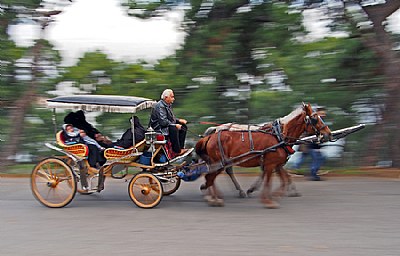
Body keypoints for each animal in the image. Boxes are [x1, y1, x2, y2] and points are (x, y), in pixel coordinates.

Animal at [195, 102, 332, 208]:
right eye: (315, 119)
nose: (328, 133)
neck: (279, 136)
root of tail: (211, 135)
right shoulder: (271, 164)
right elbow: (270, 181)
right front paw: (268, 200)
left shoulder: (276, 164)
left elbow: (284, 179)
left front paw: (277, 194)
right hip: (219, 162)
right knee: (211, 177)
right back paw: (214, 197)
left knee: (212, 176)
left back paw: (215, 196)